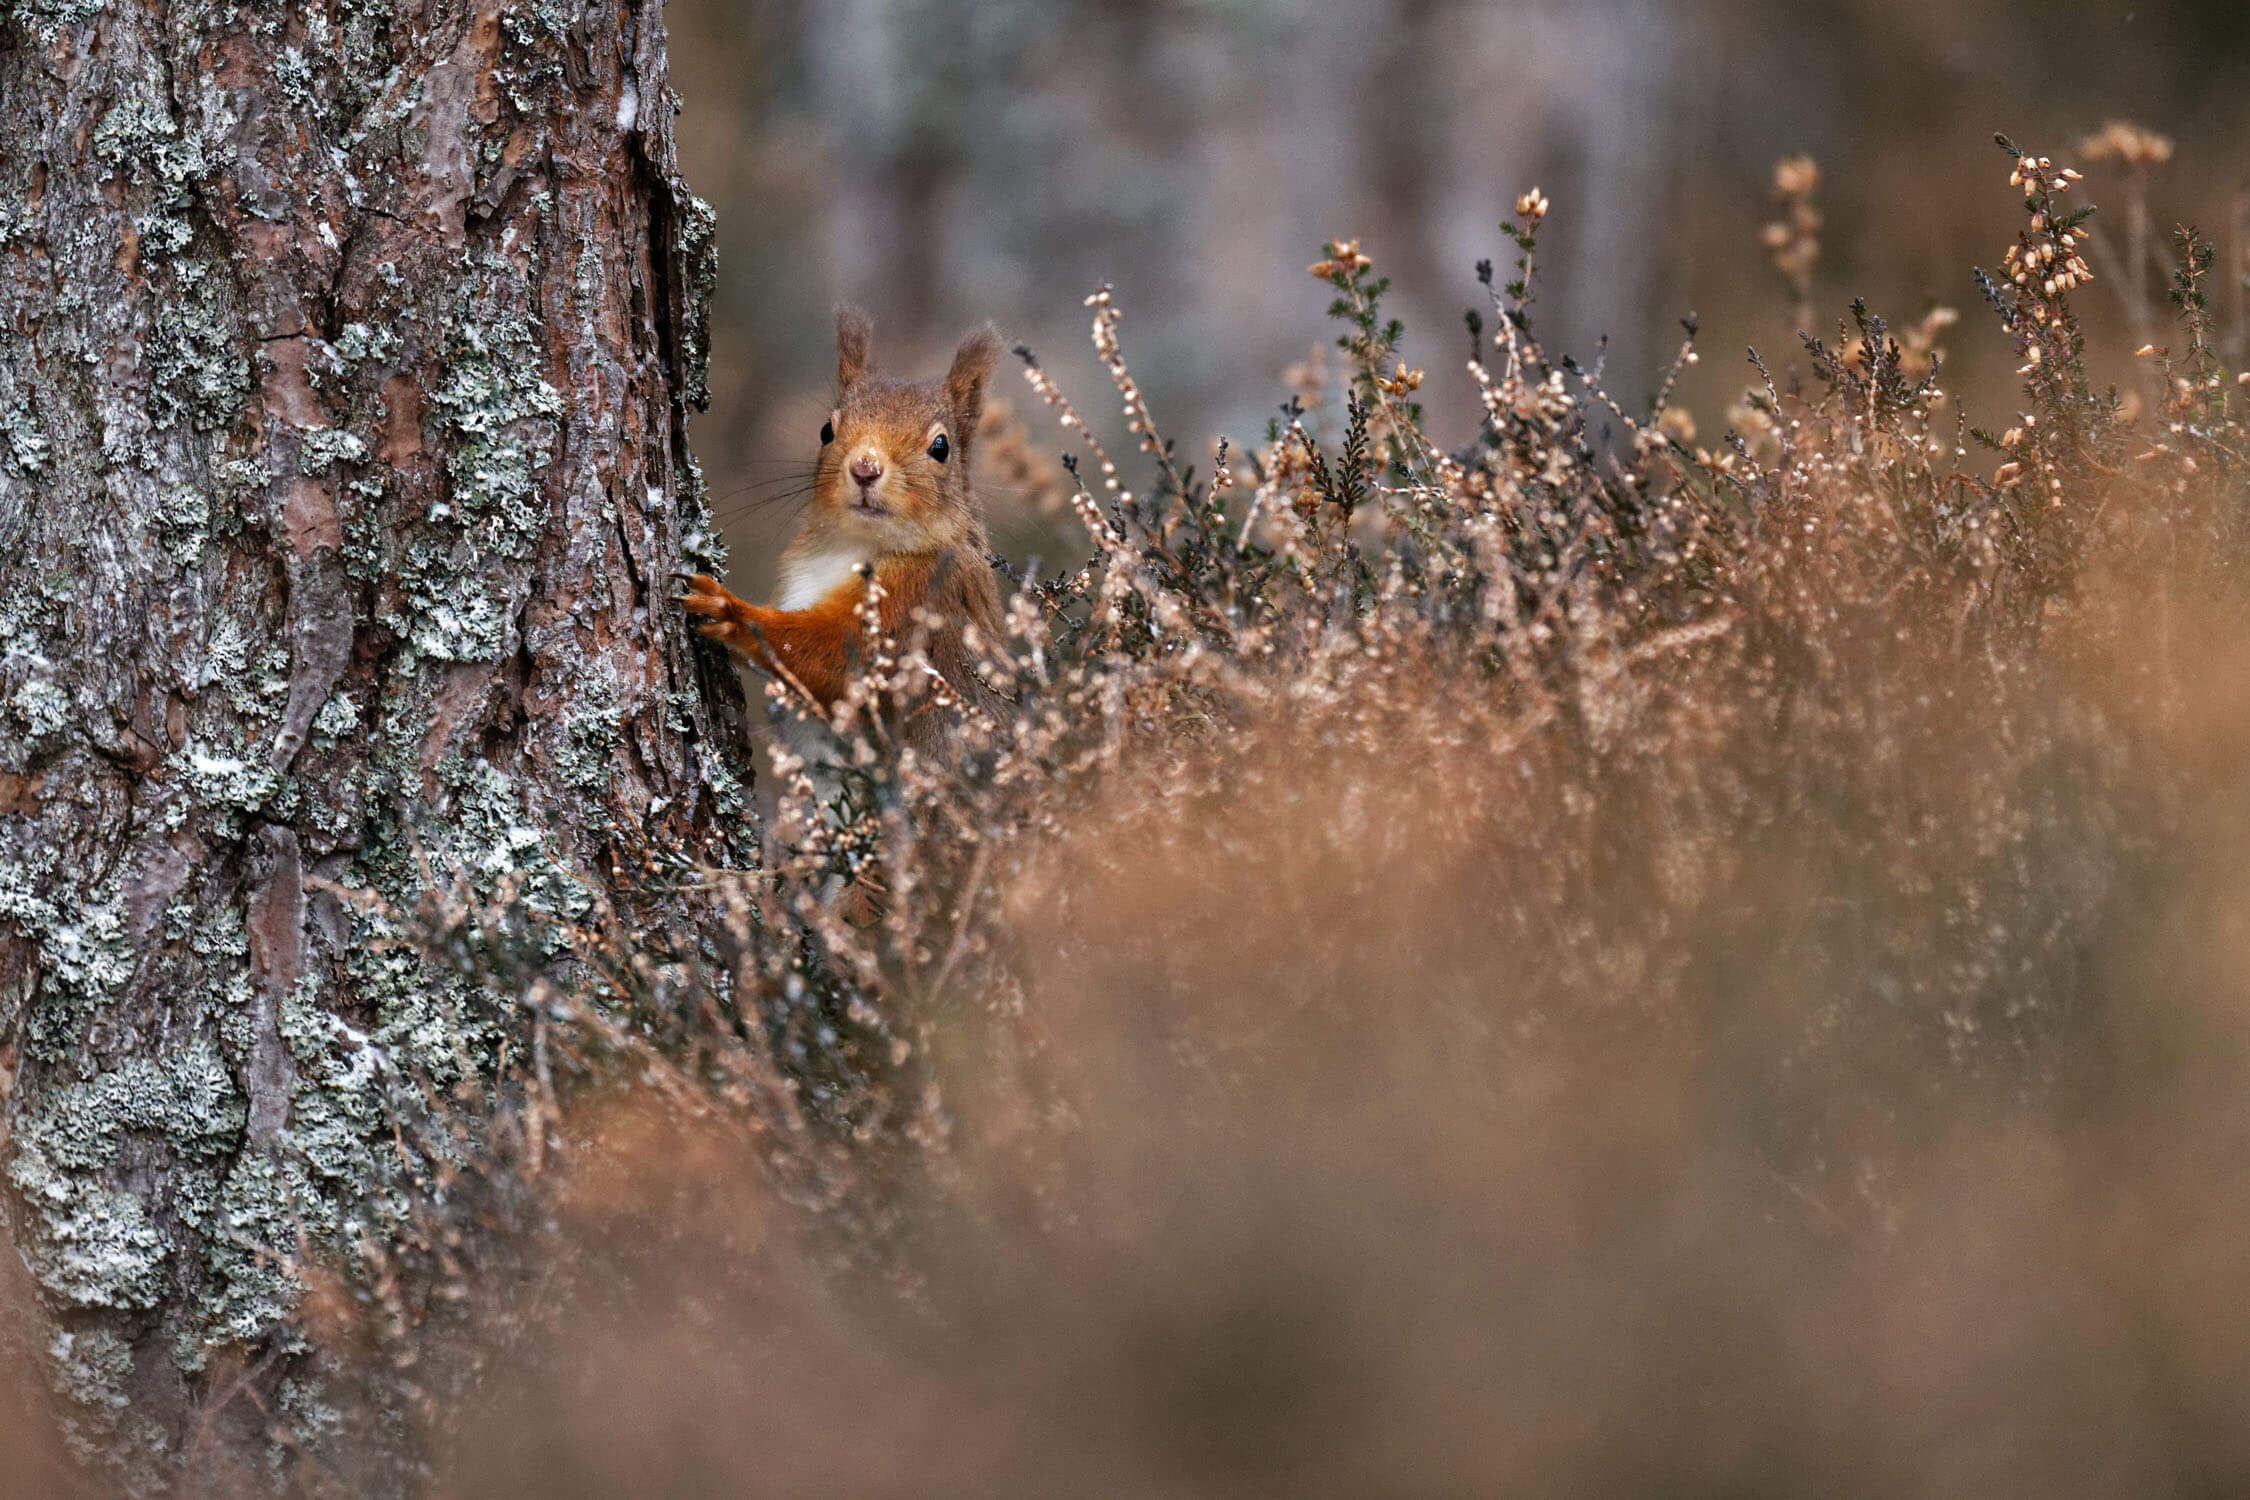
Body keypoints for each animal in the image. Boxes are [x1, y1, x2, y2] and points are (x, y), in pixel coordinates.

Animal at [679, 305, 1008, 737]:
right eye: (826, 430)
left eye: (941, 447)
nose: (865, 468)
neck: (853, 545)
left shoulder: (920, 600)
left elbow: (829, 656)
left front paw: (730, 610)